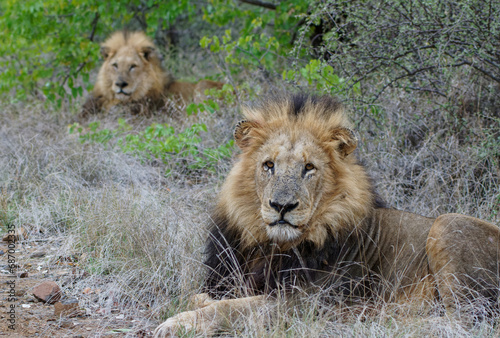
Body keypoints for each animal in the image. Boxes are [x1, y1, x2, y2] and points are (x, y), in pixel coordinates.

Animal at [153, 93, 500, 338]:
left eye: (309, 167)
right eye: (268, 165)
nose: (281, 206)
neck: (272, 246)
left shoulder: (305, 301)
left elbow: (231, 309)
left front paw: (177, 323)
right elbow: (209, 296)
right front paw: (197, 302)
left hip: (448, 225)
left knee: (460, 322)